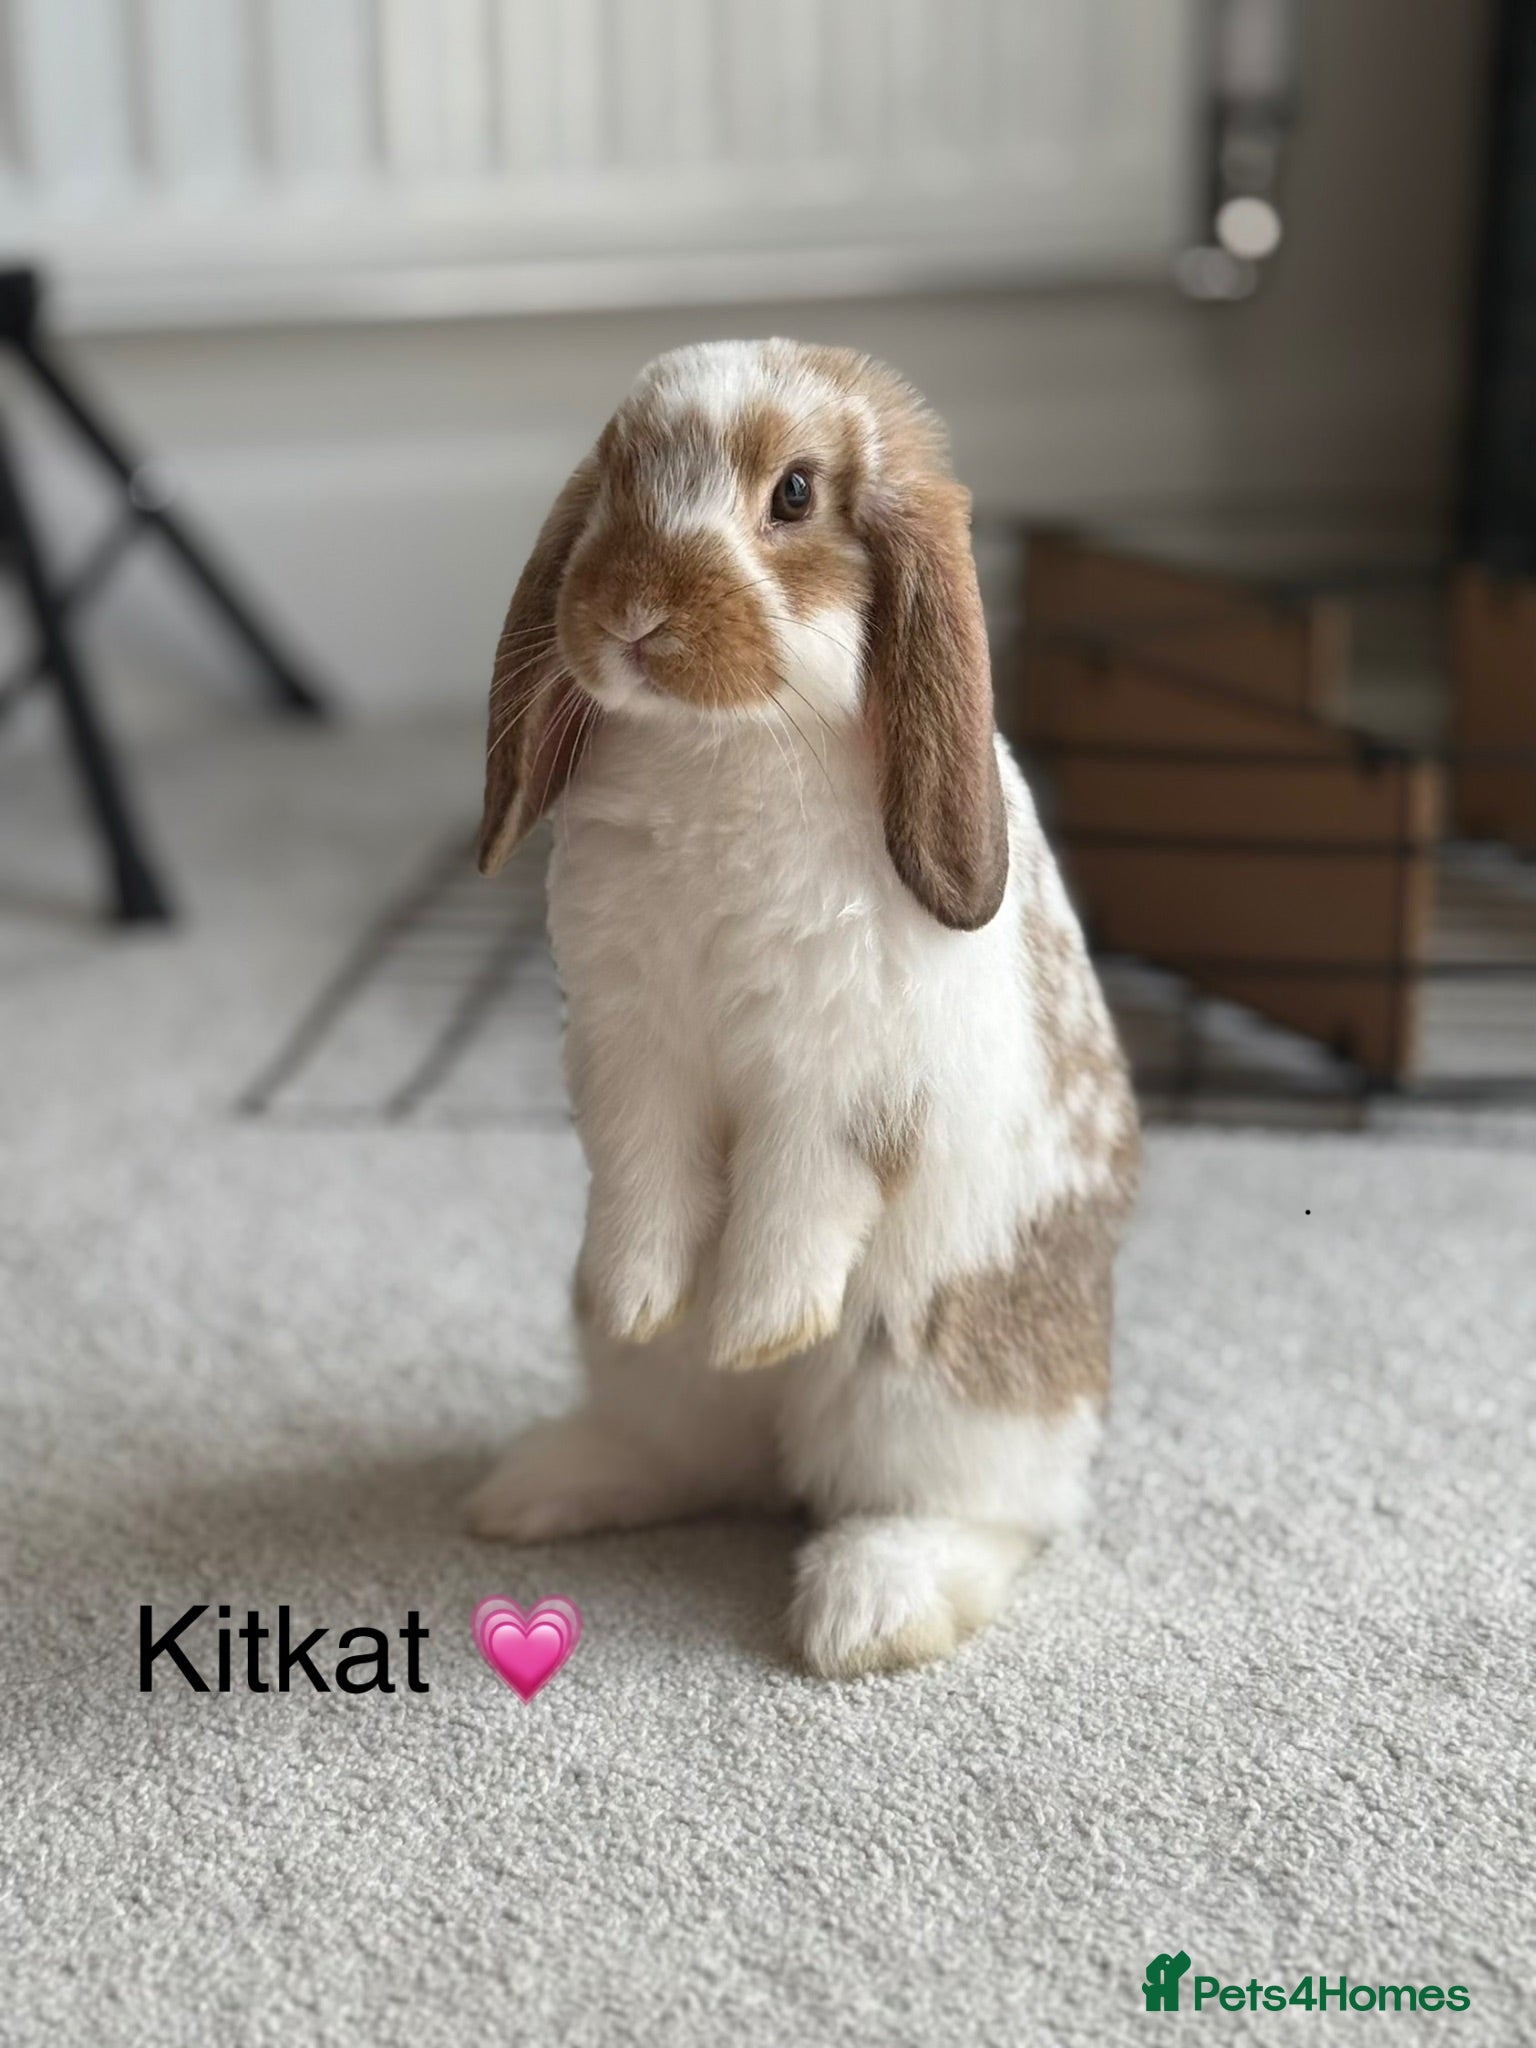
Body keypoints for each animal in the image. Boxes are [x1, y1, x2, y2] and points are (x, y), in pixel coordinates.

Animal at [467, 339, 1139, 1678]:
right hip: (659, 1392)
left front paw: (757, 1323)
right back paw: (539, 1484)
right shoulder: (631, 1053)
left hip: (937, 1387)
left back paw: (868, 1607)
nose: (633, 611)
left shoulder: (840, 1079)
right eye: (615, 478)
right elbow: (647, 1180)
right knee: (689, 1455)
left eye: (793, 494)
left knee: (976, 1511)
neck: (726, 746)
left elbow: (797, 1200)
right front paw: (647, 1296)